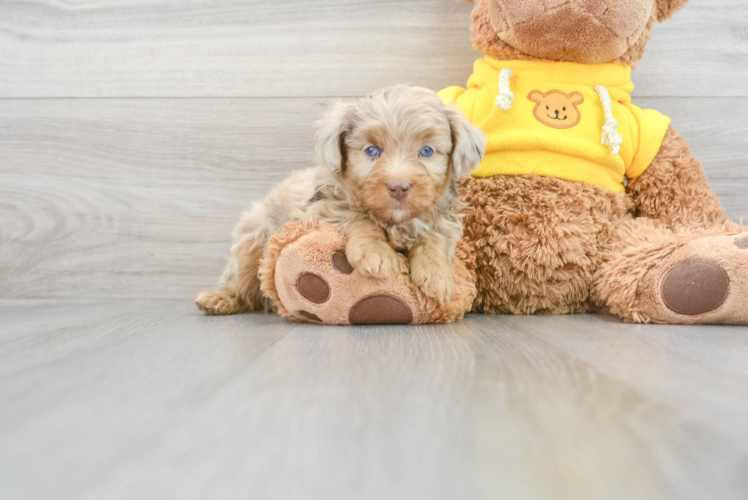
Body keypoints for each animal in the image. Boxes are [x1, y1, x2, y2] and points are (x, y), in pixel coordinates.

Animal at [194, 84, 486, 314]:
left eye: (426, 151)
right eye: (372, 151)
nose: (398, 187)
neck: (394, 221)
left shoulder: (442, 220)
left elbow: (434, 238)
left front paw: (437, 275)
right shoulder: (320, 206)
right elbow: (356, 216)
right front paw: (375, 253)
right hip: (252, 238)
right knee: (242, 282)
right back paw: (219, 298)